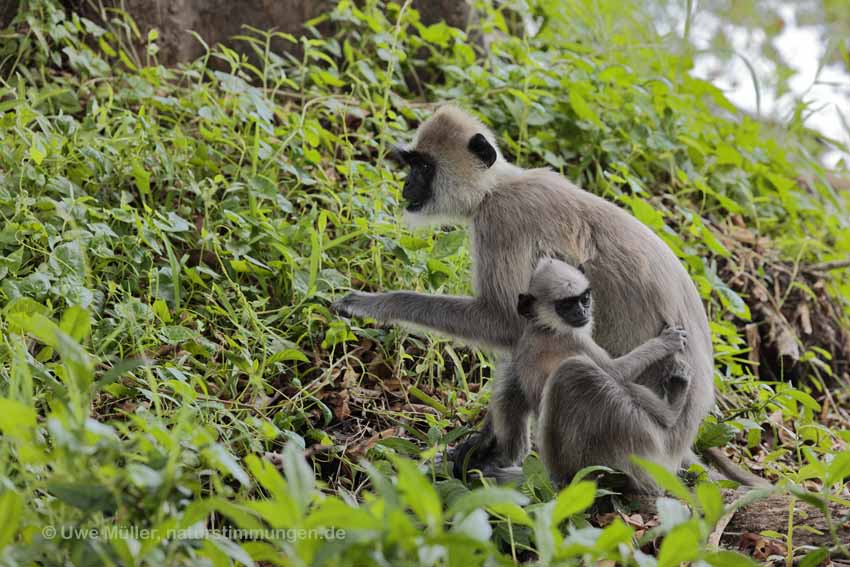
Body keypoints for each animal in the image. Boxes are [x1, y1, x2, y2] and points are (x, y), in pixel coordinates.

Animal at [516, 258, 688, 492]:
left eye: (584, 299)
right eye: (566, 306)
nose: (582, 313)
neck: (543, 327)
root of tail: (559, 478)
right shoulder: (574, 339)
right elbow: (617, 372)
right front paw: (664, 343)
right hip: (623, 437)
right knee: (575, 370)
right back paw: (671, 412)